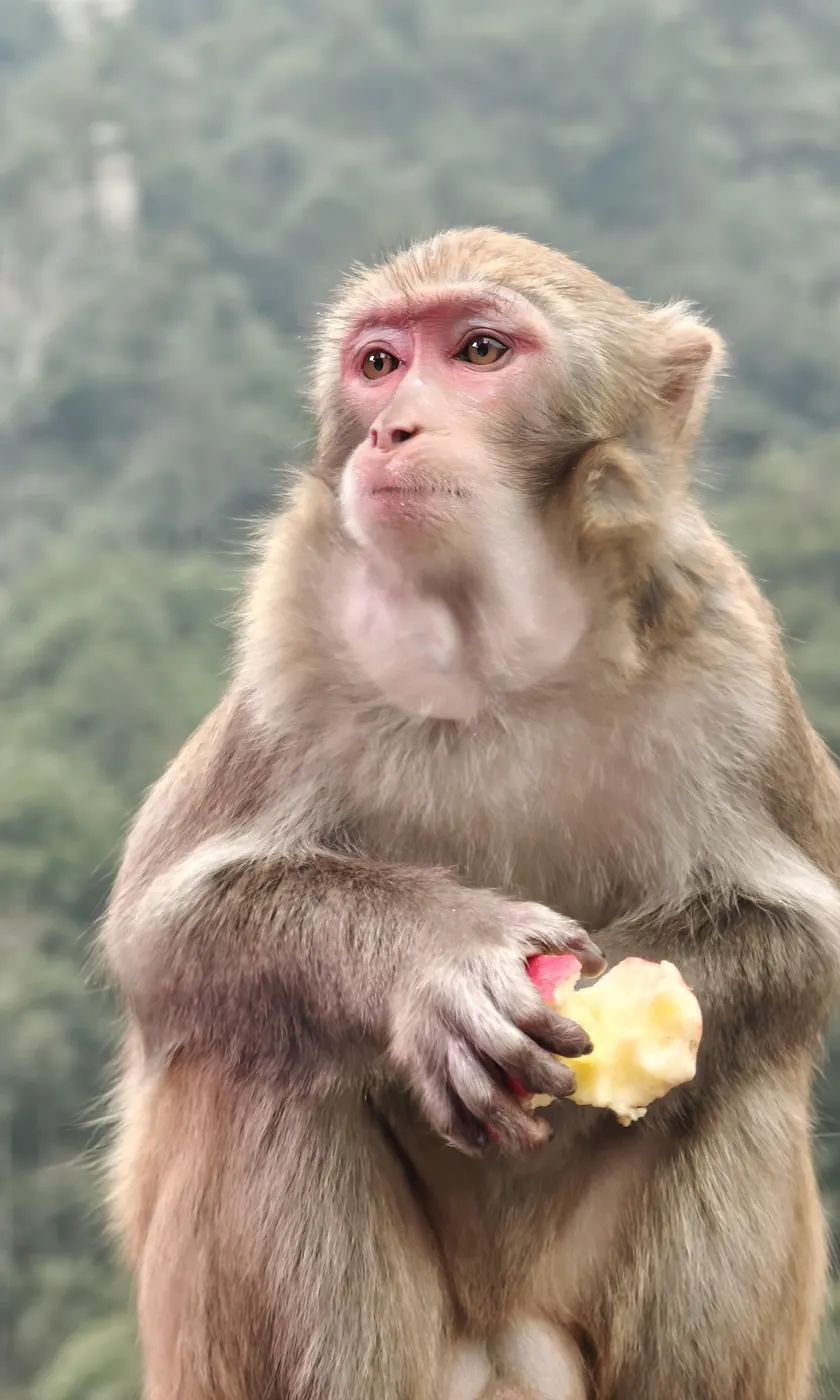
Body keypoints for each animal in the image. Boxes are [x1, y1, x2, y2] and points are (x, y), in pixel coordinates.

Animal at [99, 226, 840, 1400]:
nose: (392, 427)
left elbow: (802, 934)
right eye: (379, 364)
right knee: (266, 1055)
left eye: (480, 351)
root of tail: (499, 1348)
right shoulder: (288, 637)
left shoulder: (726, 646)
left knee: (734, 1085)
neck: (494, 653)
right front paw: (440, 964)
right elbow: (167, 929)